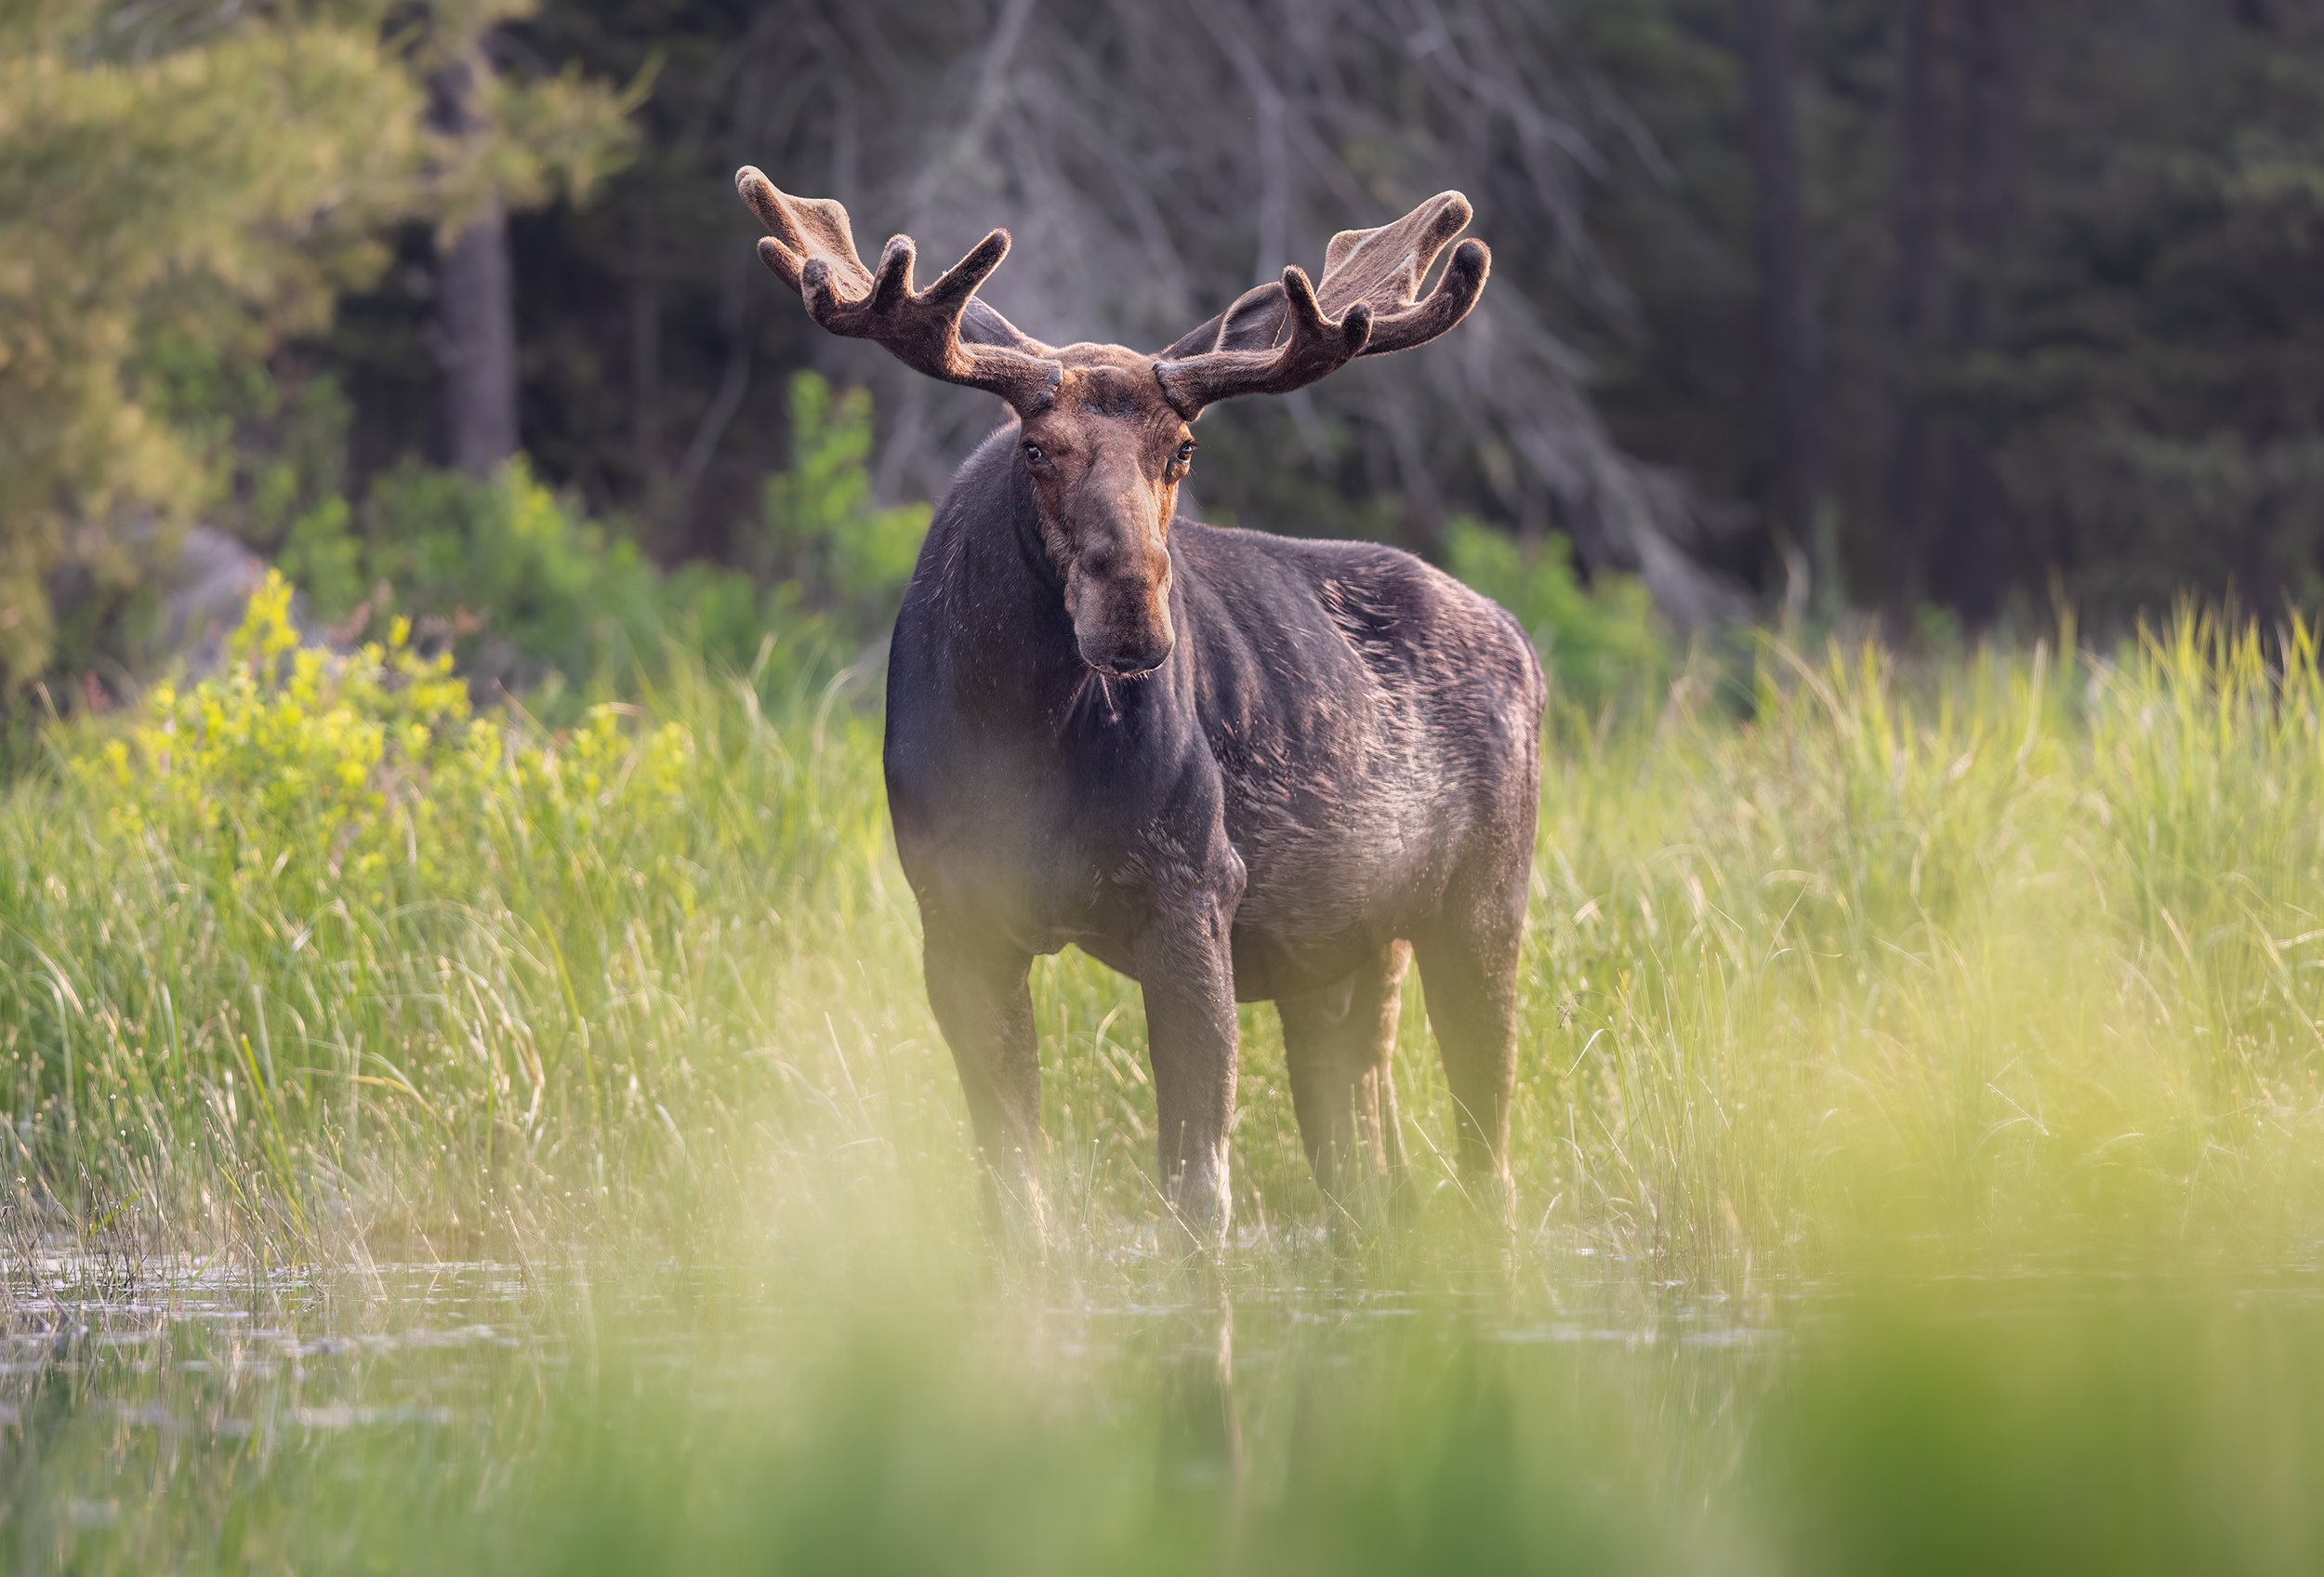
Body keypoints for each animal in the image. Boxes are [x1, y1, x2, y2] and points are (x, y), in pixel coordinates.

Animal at [737, 166, 1543, 1249]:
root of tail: (1524, 646)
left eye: (1185, 448)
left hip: (1482, 904)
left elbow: (1197, 1192)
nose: (1132, 609)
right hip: (1342, 963)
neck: (1020, 739)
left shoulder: (1194, 888)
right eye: (1037, 448)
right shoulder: (956, 913)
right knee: (1368, 1179)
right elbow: (1013, 1197)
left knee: (1486, 1164)